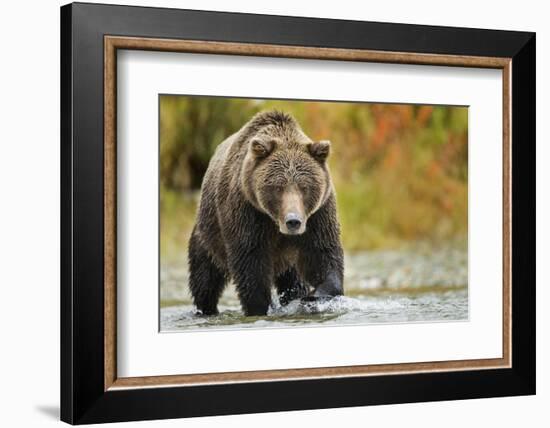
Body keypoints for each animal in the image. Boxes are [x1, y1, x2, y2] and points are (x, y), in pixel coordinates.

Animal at [190, 110, 344, 318]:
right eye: (278, 187)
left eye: (304, 187)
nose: (293, 221)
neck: (274, 222)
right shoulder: (247, 212)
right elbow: (250, 263)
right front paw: (259, 307)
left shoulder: (318, 215)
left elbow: (323, 253)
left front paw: (313, 296)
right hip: (209, 236)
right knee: (205, 279)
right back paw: (206, 309)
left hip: (288, 260)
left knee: (293, 280)